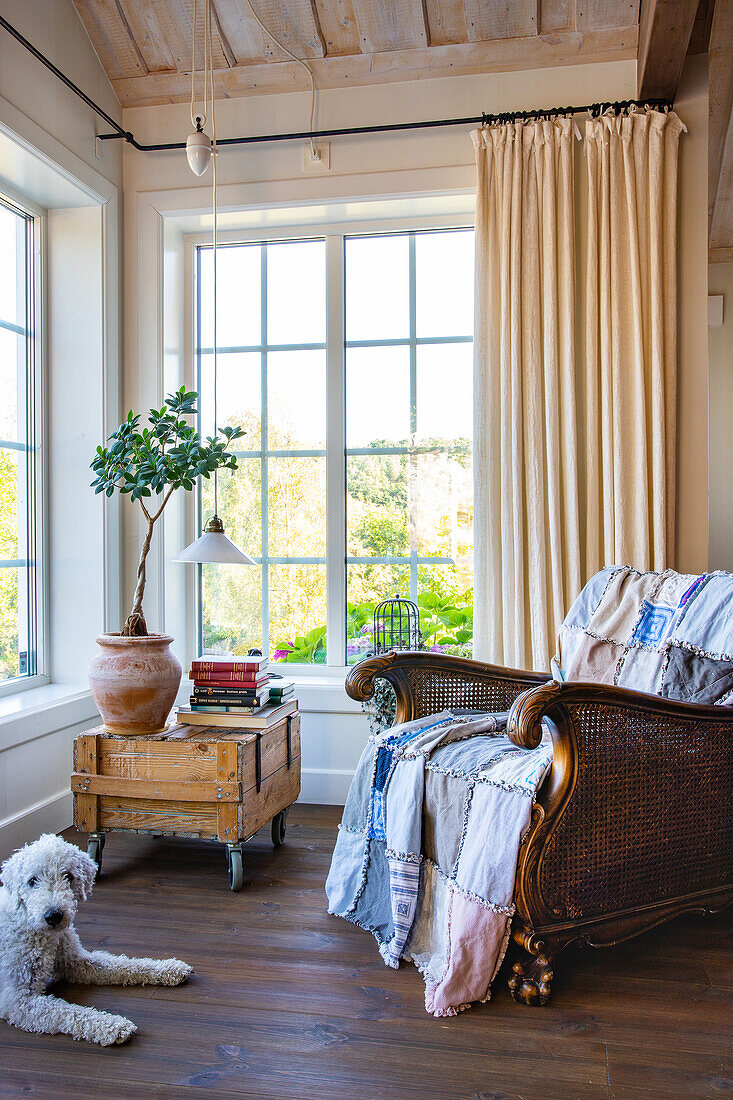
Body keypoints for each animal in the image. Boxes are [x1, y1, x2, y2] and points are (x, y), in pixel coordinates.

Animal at [0, 836, 191, 1042]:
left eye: (68, 876)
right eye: (32, 881)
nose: (53, 916)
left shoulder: (75, 961)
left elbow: (124, 964)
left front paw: (170, 968)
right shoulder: (19, 1000)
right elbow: (68, 1012)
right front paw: (114, 1025)